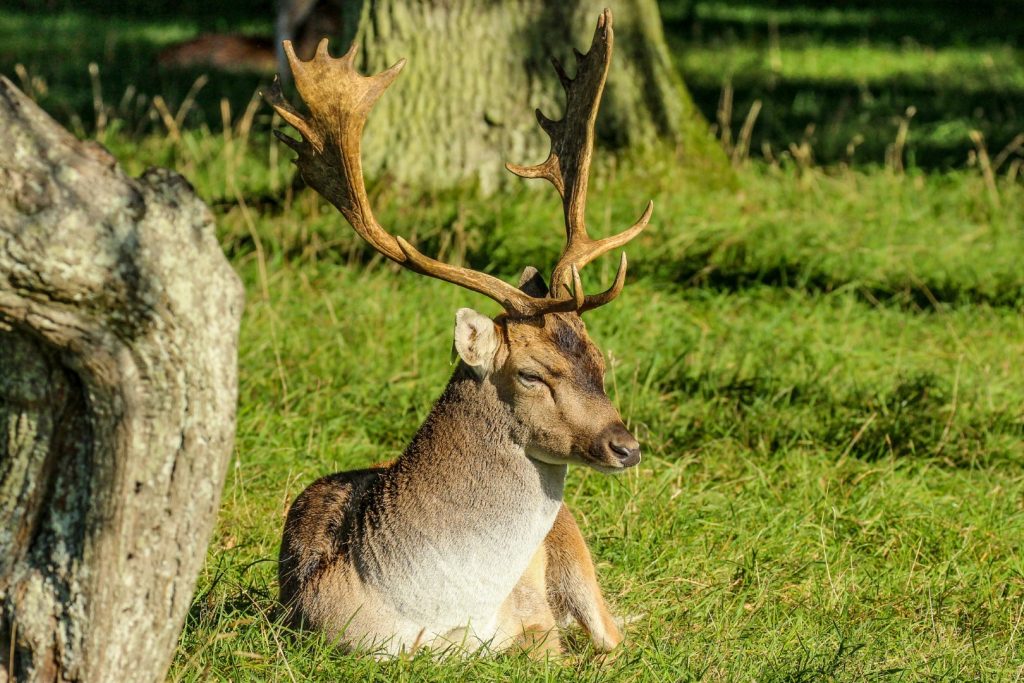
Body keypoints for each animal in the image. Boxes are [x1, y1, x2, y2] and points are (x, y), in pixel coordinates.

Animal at [268, 6, 651, 655]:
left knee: (613, 637)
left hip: (576, 552)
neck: (443, 609)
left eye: (600, 361)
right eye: (531, 375)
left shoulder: (537, 623)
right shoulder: (328, 631)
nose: (627, 446)